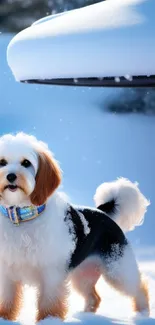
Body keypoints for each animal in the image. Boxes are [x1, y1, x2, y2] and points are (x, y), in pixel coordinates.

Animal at [0, 132, 150, 322]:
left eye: (26, 163)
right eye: (2, 162)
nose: (11, 176)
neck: (22, 217)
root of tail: (103, 213)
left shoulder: (51, 272)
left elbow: (49, 302)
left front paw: (49, 321)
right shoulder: (7, 271)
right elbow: (8, 299)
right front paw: (4, 318)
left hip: (117, 269)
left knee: (139, 288)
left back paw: (143, 313)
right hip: (83, 275)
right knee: (94, 297)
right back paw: (85, 316)